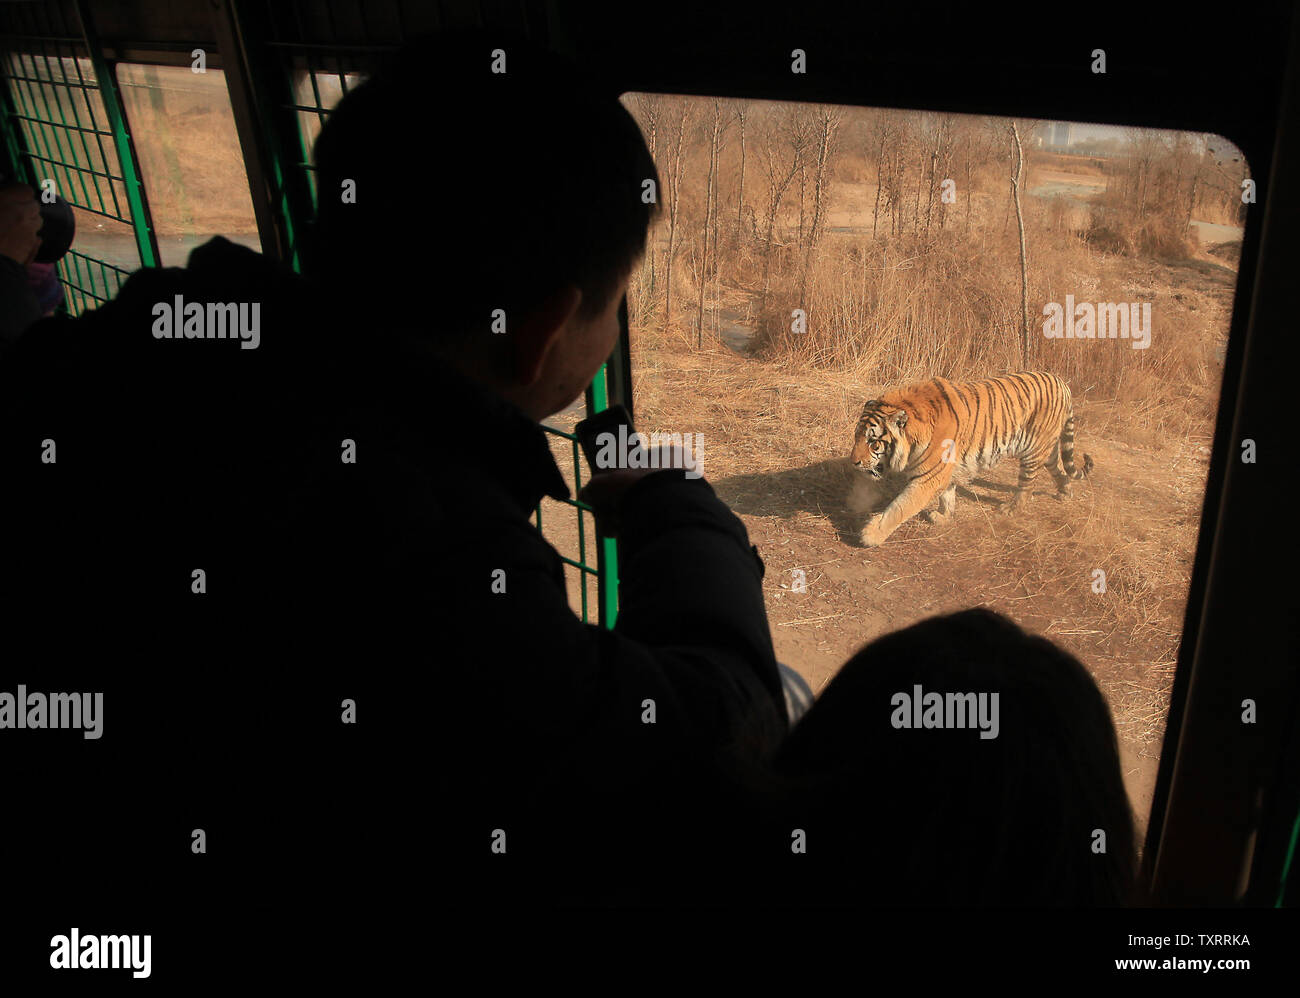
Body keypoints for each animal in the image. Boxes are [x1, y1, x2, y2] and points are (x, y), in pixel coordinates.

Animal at [848, 371, 1093, 547]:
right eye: (857, 436)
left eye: (873, 442)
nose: (854, 462)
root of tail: (1062, 383)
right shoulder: (944, 470)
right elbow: (948, 496)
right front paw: (944, 517)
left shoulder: (928, 479)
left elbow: (899, 508)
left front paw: (870, 535)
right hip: (1047, 448)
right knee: (1059, 469)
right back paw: (1064, 493)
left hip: (1033, 451)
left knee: (1027, 486)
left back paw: (1011, 509)